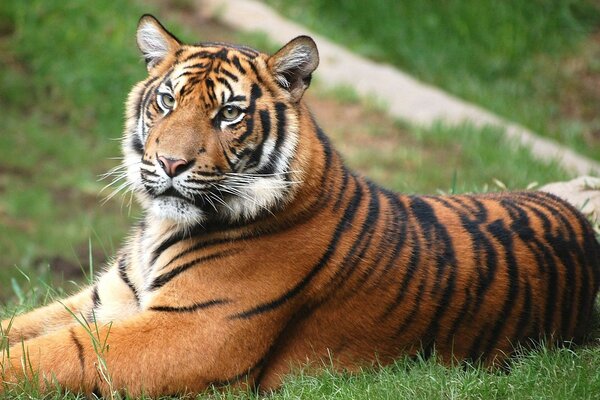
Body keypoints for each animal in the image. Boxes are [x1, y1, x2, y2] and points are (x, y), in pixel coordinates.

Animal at [1, 14, 600, 396]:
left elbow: (54, 354)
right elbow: (20, 327)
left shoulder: (189, 333)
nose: (169, 164)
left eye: (229, 114)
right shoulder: (103, 301)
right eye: (167, 101)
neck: (161, 229)